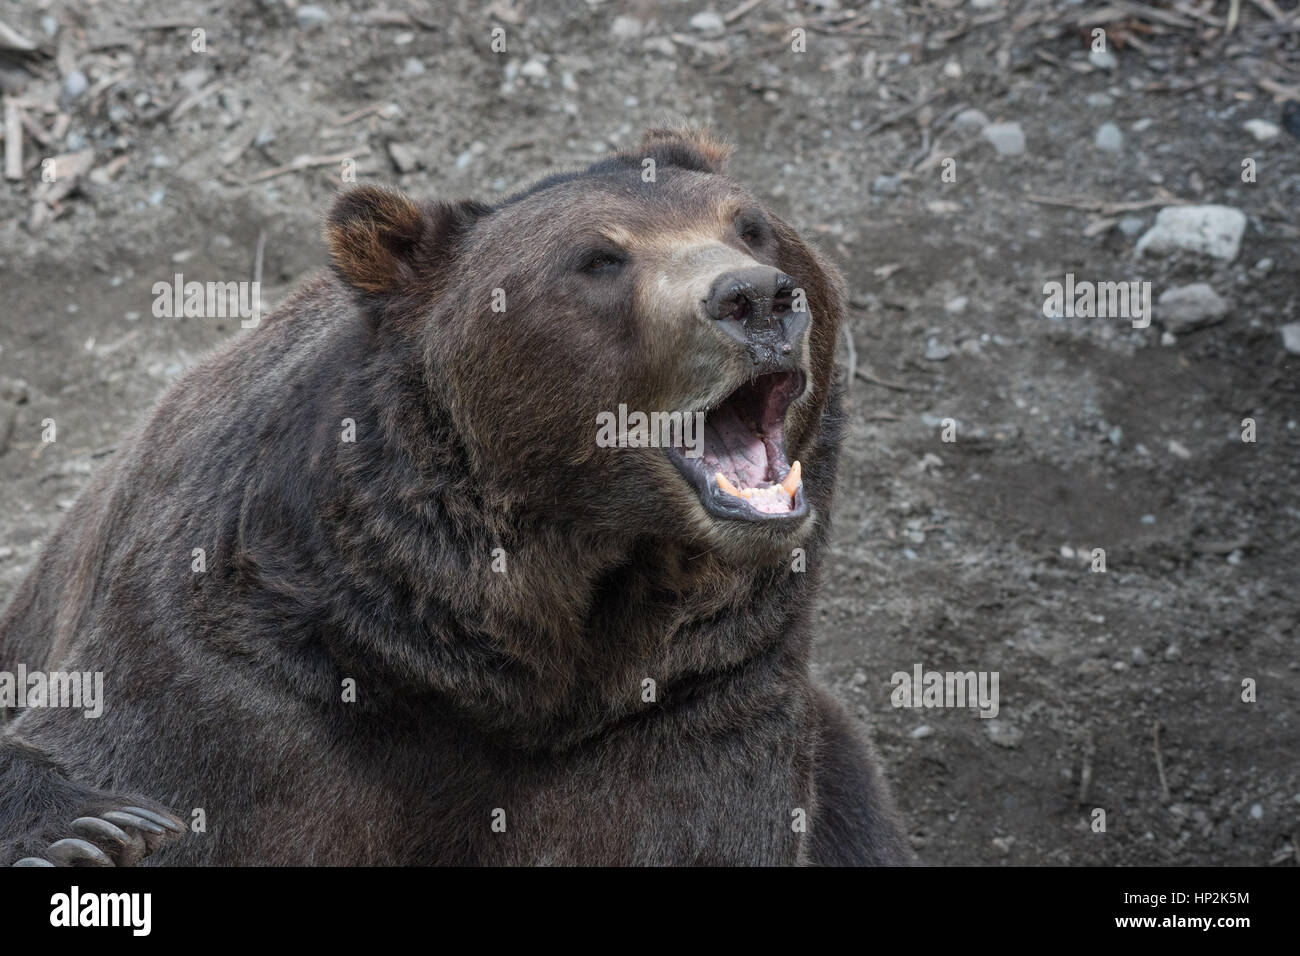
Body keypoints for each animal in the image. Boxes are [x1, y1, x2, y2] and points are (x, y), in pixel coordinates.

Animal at [0, 127, 909, 868]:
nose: (756, 297)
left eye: (750, 224)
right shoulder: (238, 673)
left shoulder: (691, 707)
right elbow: (140, 765)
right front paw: (90, 831)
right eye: (599, 259)